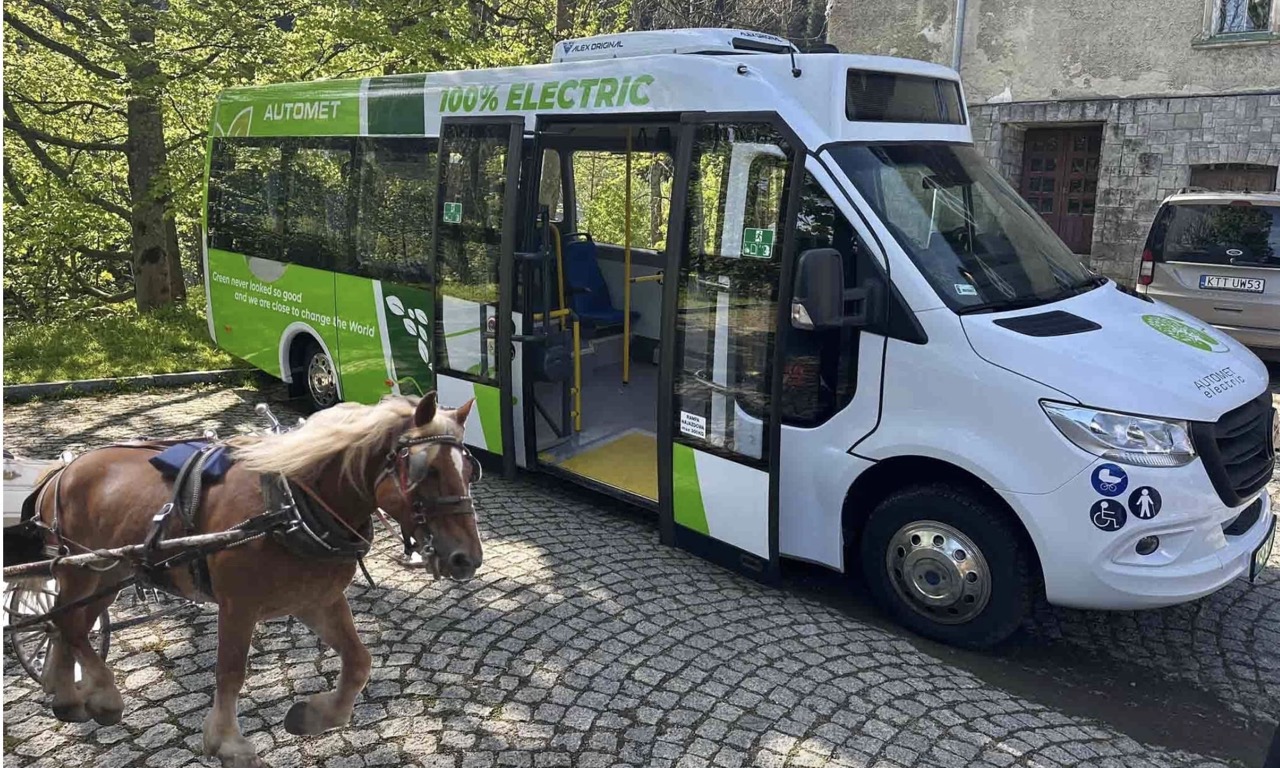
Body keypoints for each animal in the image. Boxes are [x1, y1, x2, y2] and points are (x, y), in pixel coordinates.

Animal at [24, 394, 483, 762]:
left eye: (469, 470)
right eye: (428, 470)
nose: (467, 558)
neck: (290, 507)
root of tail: (62, 470)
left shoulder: (316, 600)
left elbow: (358, 661)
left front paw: (316, 716)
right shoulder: (238, 607)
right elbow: (231, 671)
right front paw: (228, 743)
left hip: (108, 575)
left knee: (65, 623)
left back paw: (66, 694)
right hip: (82, 568)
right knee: (67, 624)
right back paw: (102, 695)